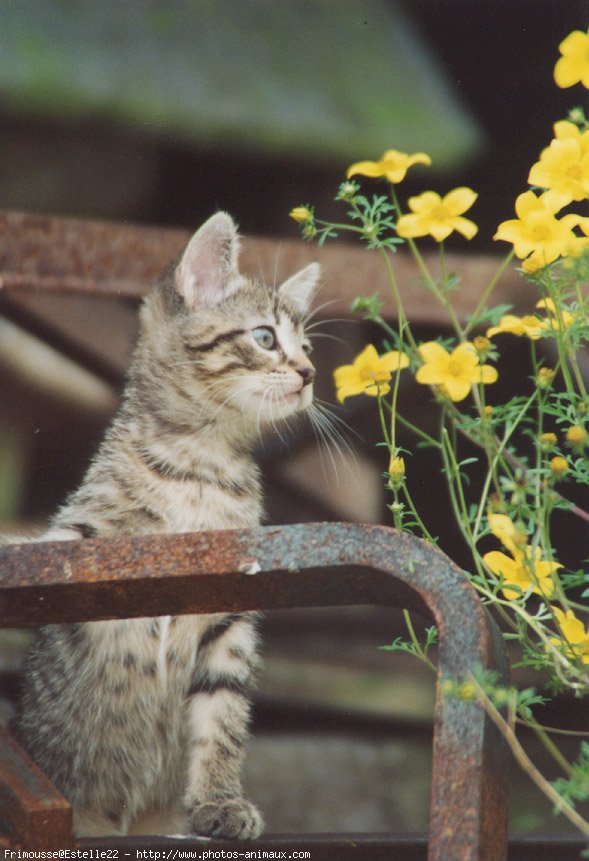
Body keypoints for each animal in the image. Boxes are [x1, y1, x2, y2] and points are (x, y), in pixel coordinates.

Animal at [17, 212, 322, 836]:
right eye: (265, 338)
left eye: (306, 347)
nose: (309, 373)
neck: (200, 467)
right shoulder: (88, 545)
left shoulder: (229, 610)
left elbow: (222, 714)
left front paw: (218, 801)